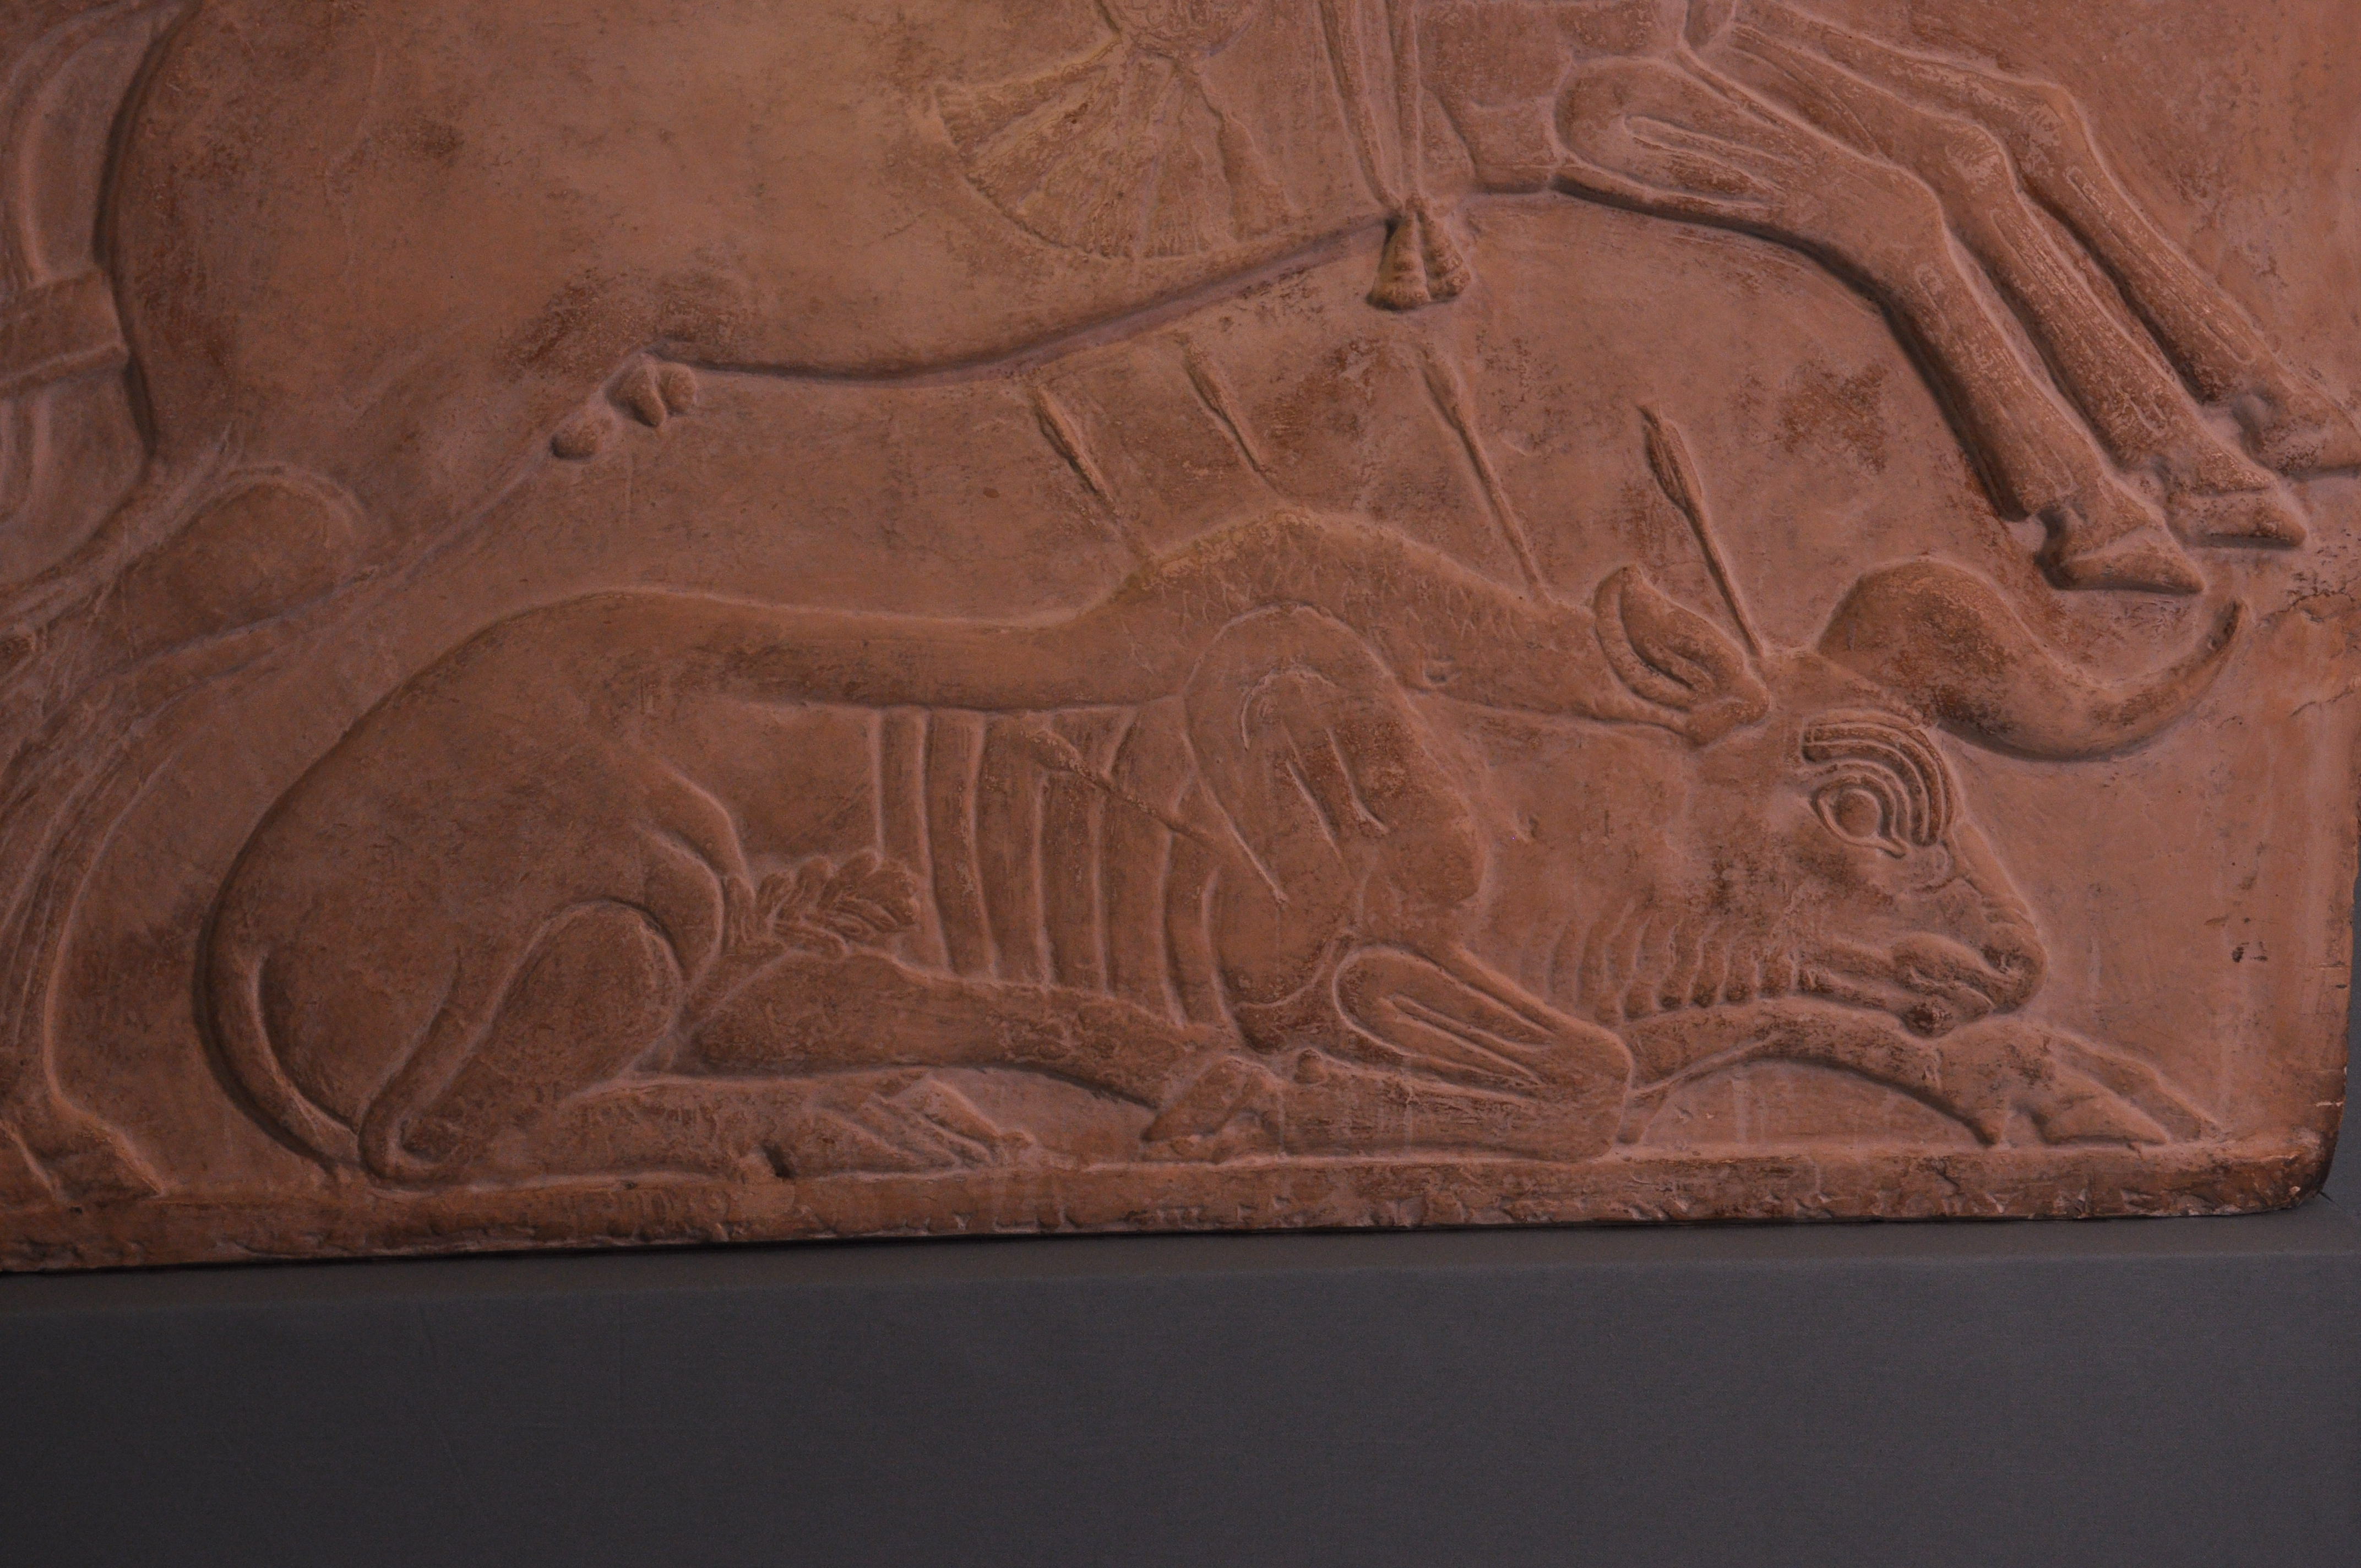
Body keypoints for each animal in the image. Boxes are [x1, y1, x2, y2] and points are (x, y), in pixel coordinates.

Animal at [198, 494, 2236, 1185]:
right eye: (1863, 802)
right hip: (629, 910)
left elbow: (1733, 1043)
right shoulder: (1330, 964)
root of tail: (258, 905)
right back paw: (838, 1131)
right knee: (437, 1142)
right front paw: (1275, 1111)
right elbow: (1581, 1085)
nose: (2013, 951)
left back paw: (901, 1107)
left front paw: (2060, 1085)